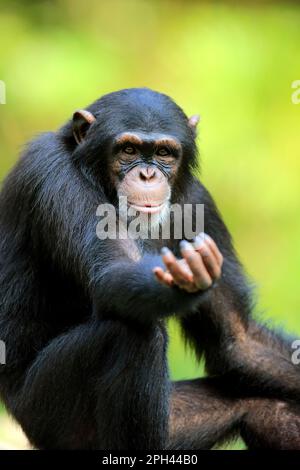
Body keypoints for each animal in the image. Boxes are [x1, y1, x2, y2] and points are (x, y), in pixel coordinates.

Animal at [0, 86, 300, 450]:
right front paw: (182, 283)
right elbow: (112, 275)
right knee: (133, 332)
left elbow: (236, 340)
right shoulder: (53, 174)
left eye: (164, 153)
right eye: (128, 150)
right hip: (47, 415)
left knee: (263, 407)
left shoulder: (199, 203)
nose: (147, 174)